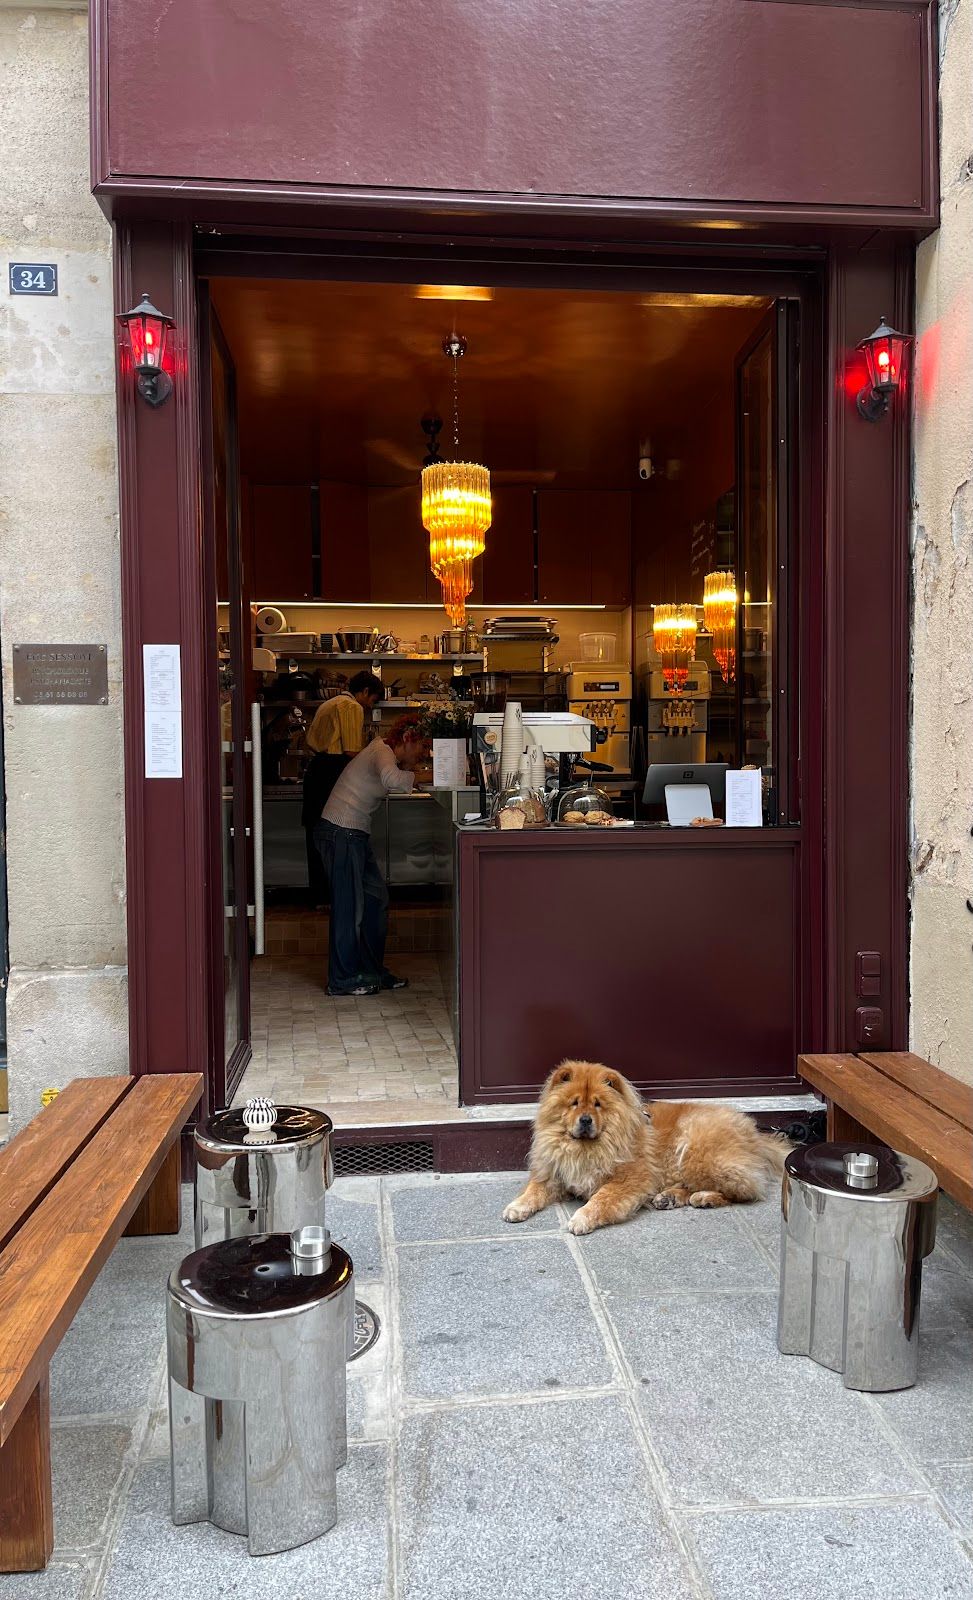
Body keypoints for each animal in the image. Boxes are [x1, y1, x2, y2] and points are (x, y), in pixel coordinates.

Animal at [503, 1059, 790, 1235]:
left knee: (746, 1188)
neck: (585, 1149)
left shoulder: (629, 1179)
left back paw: (704, 1198)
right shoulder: (553, 1174)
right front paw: (516, 1207)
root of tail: (753, 1132)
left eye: (597, 1105)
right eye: (574, 1103)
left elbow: (600, 1199)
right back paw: (669, 1197)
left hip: (696, 1152)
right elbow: (533, 1191)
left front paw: (581, 1219)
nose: (585, 1120)